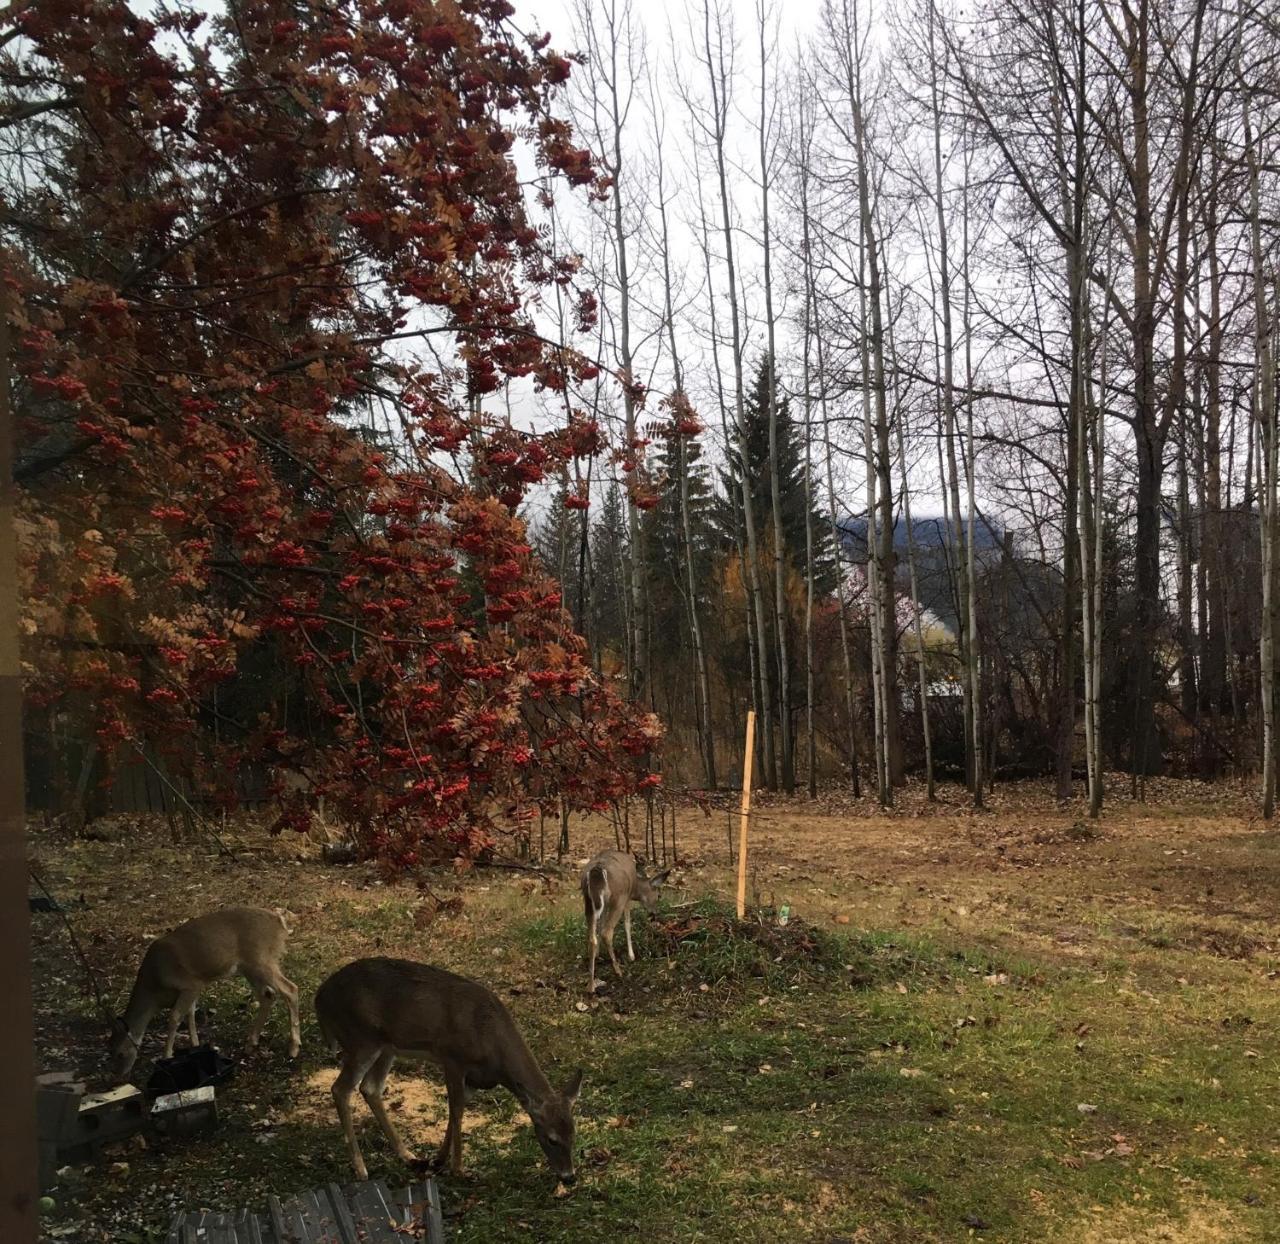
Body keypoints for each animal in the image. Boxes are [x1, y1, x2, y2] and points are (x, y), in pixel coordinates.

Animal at [106, 906, 300, 1080]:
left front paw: (167, 1056)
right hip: (249, 967)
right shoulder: (191, 990)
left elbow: (174, 1017)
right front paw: (196, 1046)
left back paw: (293, 1049)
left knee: (290, 989)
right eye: (109, 1051)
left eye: (120, 1053)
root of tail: (279, 923)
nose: (118, 1076)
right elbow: (190, 1014)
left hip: (261, 960)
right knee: (267, 996)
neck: (155, 990)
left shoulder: (190, 984)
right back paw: (251, 1044)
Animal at [316, 957, 586, 1182]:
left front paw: (439, 1159)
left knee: (370, 1088)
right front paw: (458, 1168)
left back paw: (407, 1155)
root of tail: (320, 998)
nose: (569, 1177)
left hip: (386, 1047)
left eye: (574, 1134)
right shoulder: (453, 1058)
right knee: (341, 1089)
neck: (491, 1043)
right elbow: (456, 1109)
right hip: (362, 1039)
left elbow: (457, 1109)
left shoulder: (475, 1079)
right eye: (551, 1139)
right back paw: (361, 1168)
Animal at [581, 844, 670, 993]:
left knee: (592, 936)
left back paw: (591, 985)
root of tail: (597, 870)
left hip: (588, 901)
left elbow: (600, 925)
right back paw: (618, 970)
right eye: (659, 896)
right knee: (607, 932)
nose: (654, 913)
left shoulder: (605, 904)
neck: (636, 886)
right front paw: (631, 955)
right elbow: (628, 924)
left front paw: (598, 953)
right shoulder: (627, 898)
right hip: (618, 898)